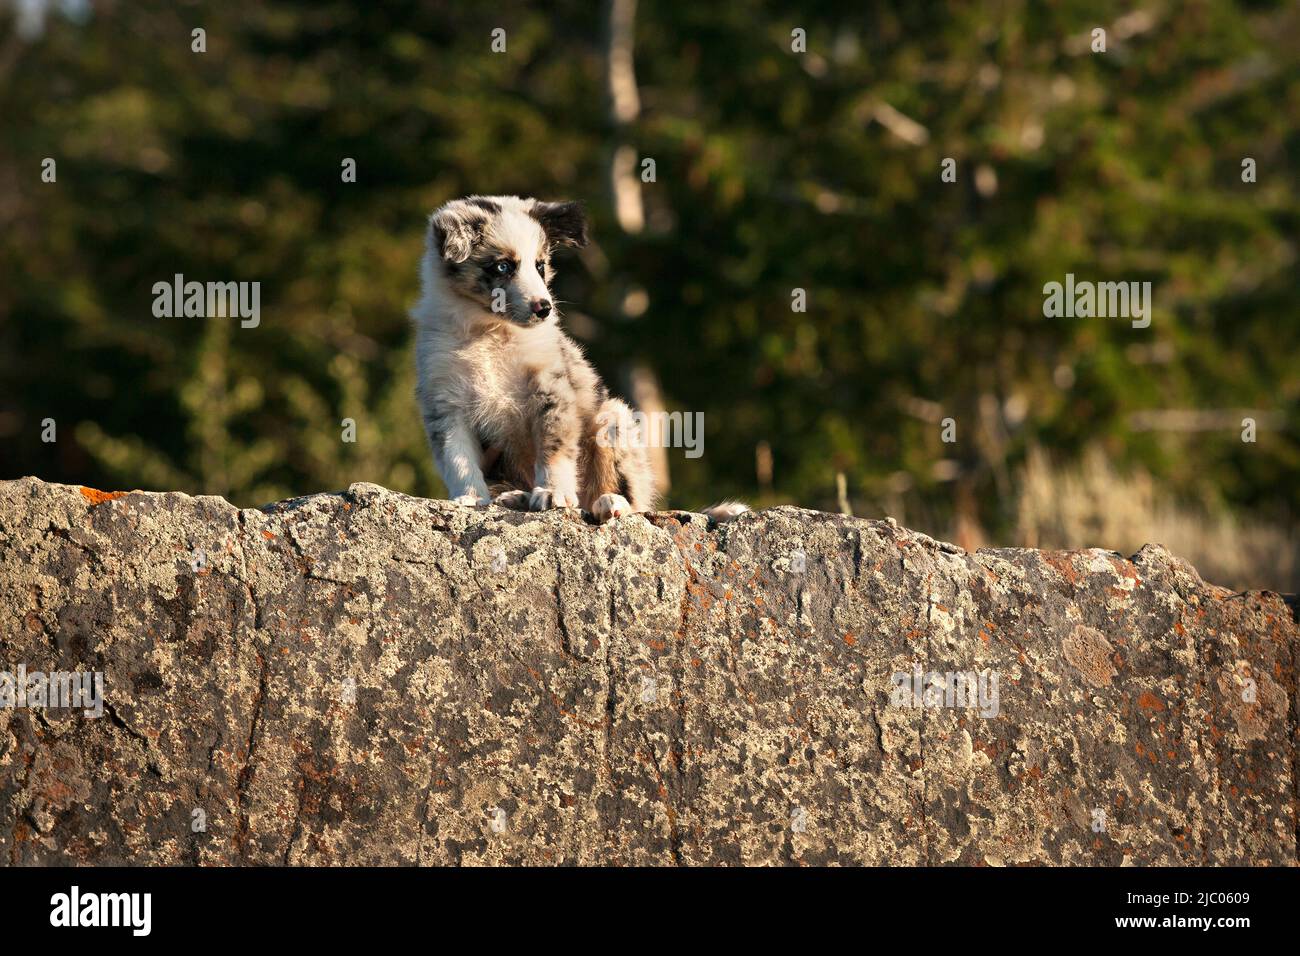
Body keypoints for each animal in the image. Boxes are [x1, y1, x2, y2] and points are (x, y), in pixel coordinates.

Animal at [410, 193, 748, 522]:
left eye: (540, 266)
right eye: (503, 267)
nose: (544, 308)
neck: (490, 331)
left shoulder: (551, 389)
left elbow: (554, 449)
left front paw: (552, 493)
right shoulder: (444, 402)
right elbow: (458, 458)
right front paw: (470, 498)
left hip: (613, 419)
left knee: (632, 501)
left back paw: (610, 503)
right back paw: (516, 497)